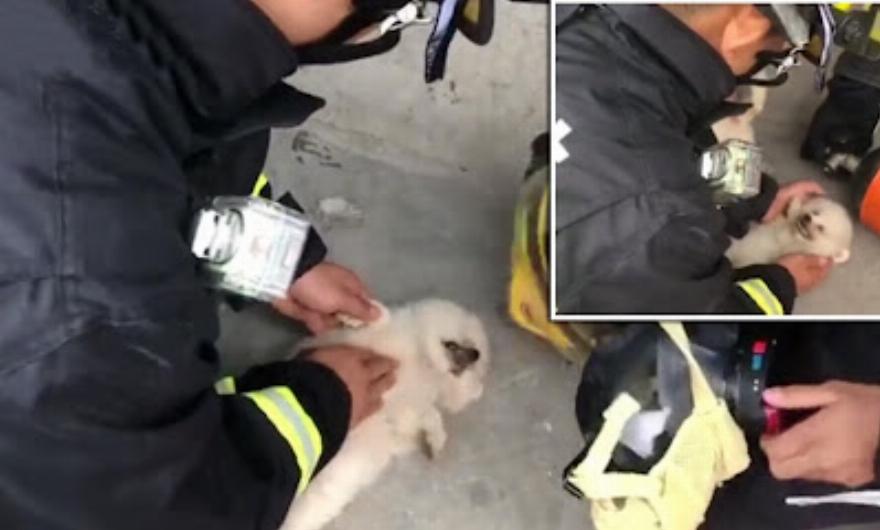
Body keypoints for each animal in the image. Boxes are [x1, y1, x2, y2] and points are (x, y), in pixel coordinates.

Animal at [280, 299, 491, 530]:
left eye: (475, 352)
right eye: (453, 344)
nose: (476, 354)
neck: (423, 363)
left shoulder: (412, 412)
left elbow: (432, 416)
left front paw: (435, 440)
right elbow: (380, 317)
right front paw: (354, 315)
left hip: (321, 497)